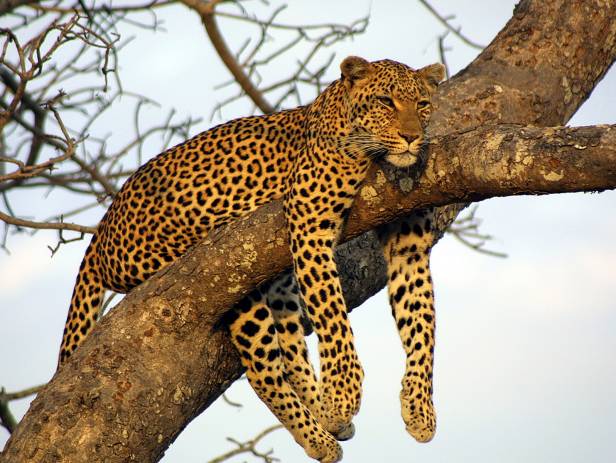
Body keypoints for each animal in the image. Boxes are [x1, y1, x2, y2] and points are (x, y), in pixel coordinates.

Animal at [56, 57, 442, 463]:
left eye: (422, 104)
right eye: (385, 102)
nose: (412, 138)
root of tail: (102, 230)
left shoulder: (408, 247)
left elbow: (422, 325)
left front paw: (419, 409)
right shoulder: (310, 225)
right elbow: (333, 317)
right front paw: (343, 393)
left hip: (275, 282)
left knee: (290, 347)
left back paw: (324, 418)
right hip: (226, 273)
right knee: (263, 370)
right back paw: (321, 433)